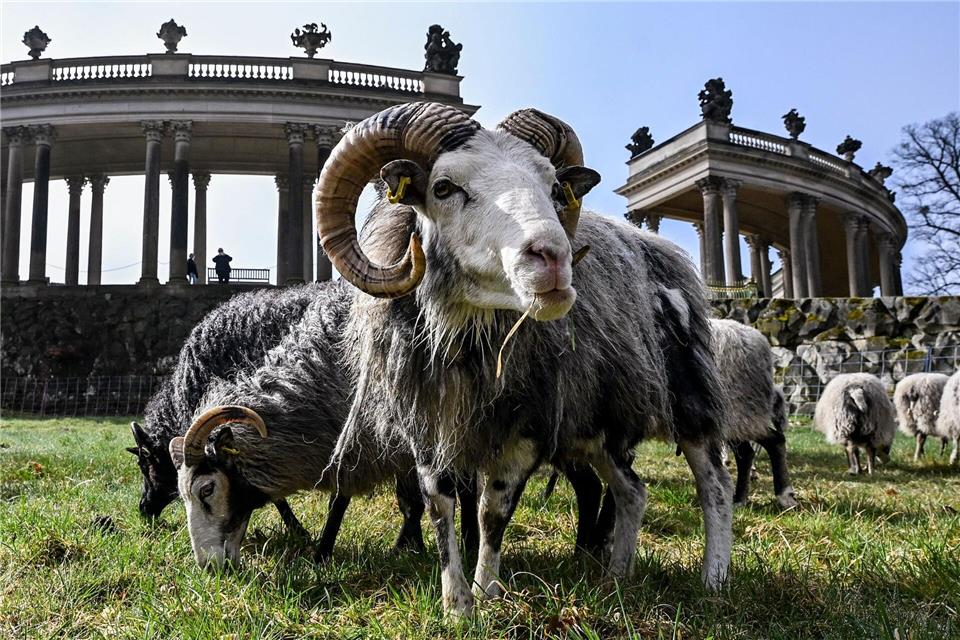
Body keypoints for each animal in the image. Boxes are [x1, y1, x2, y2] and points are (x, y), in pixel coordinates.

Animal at [307, 101, 731, 617]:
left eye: (553, 188)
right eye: (443, 188)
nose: (553, 258)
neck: (470, 343)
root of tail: (662, 251)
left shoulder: (529, 422)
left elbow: (492, 512)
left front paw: (488, 592)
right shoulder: (426, 423)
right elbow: (440, 507)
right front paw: (456, 605)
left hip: (689, 395)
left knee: (714, 485)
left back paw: (714, 581)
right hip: (600, 417)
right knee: (632, 489)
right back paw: (618, 576)